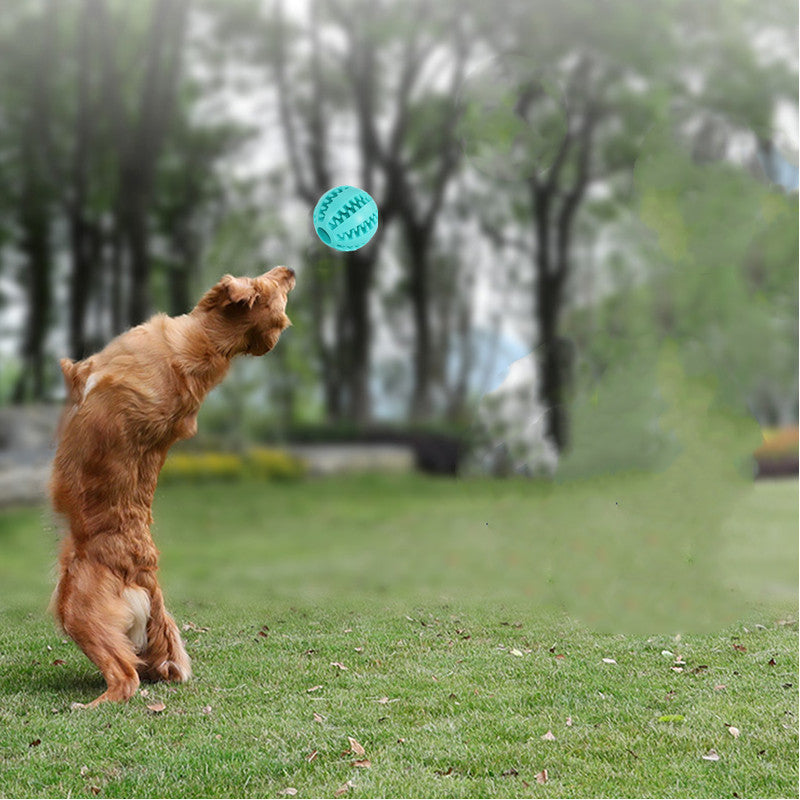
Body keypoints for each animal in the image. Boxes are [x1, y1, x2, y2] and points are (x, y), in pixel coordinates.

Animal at [50, 268, 296, 708]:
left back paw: (87, 706)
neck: (206, 343)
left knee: (126, 678)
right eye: (277, 288)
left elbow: (73, 369)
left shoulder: (87, 369)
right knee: (149, 661)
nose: (291, 271)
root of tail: (145, 569)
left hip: (76, 610)